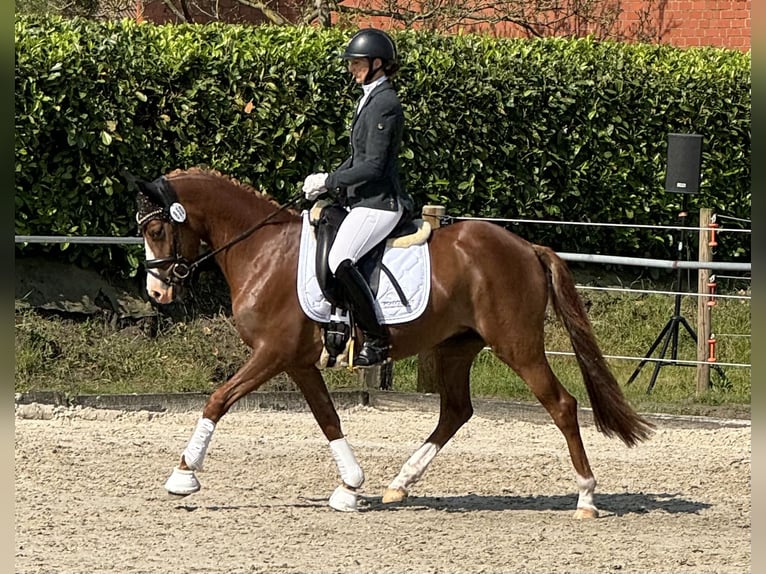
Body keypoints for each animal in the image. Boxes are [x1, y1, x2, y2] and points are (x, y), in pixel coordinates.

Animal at [136, 168, 656, 520]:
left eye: (157, 229)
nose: (157, 293)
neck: (261, 250)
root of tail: (527, 247)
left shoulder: (272, 354)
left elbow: (218, 399)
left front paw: (183, 476)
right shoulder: (298, 362)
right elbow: (328, 418)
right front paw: (351, 487)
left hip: (517, 345)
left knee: (562, 405)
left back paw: (586, 497)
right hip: (456, 347)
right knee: (455, 411)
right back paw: (399, 484)